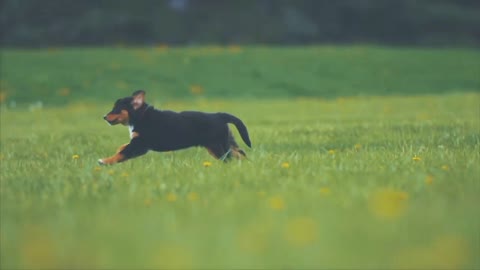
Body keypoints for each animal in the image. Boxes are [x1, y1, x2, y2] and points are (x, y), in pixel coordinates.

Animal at [100, 90, 253, 165]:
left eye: (117, 109)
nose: (104, 117)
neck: (141, 116)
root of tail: (219, 115)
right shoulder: (138, 143)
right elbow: (123, 148)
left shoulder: (140, 144)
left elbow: (122, 154)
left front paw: (104, 161)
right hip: (224, 142)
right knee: (240, 153)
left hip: (217, 146)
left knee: (230, 158)